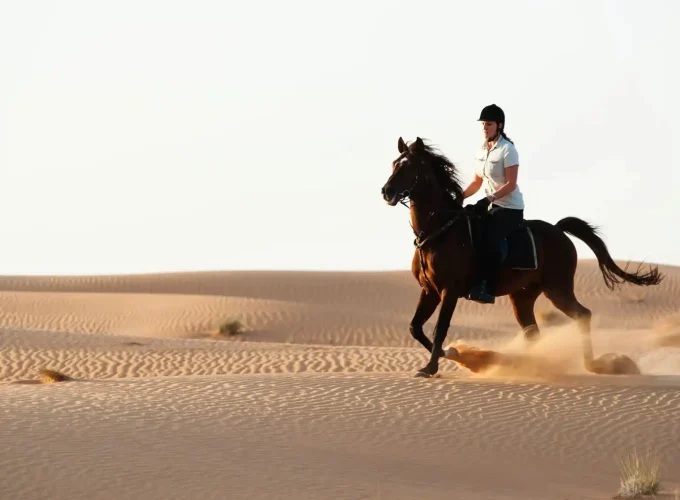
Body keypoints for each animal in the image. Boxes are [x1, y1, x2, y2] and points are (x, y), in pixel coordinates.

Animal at [381, 137, 663, 378]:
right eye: (394, 163)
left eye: (409, 167)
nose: (386, 191)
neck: (439, 230)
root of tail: (559, 230)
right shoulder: (429, 291)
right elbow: (415, 327)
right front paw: (449, 355)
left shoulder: (449, 292)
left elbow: (440, 329)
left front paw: (435, 364)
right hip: (523, 296)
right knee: (533, 332)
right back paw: (532, 364)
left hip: (557, 289)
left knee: (583, 315)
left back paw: (591, 365)